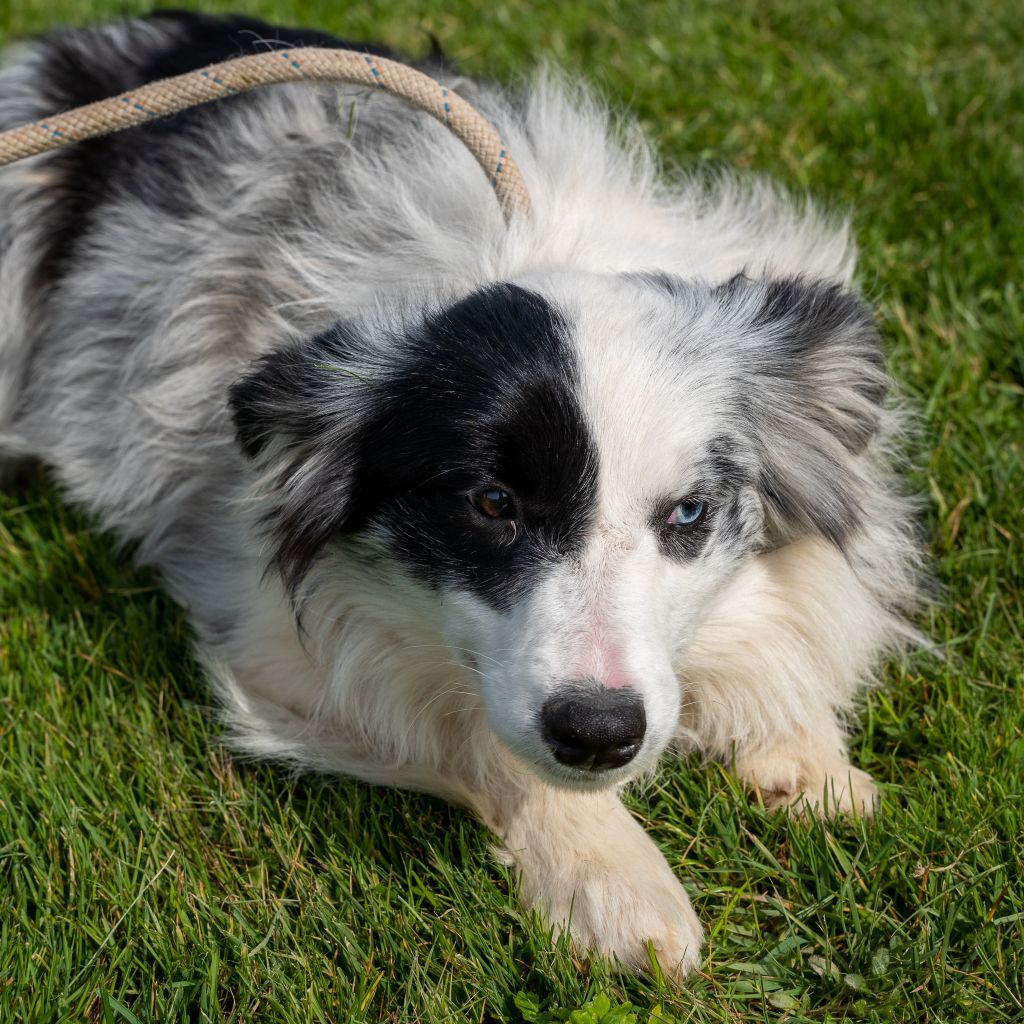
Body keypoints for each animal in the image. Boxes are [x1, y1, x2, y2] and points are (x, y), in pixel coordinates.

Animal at [0, 8, 925, 978]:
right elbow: (475, 733)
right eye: (490, 504)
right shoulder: (280, 643)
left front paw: (798, 745)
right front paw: (614, 879)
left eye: (688, 513)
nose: (598, 732)